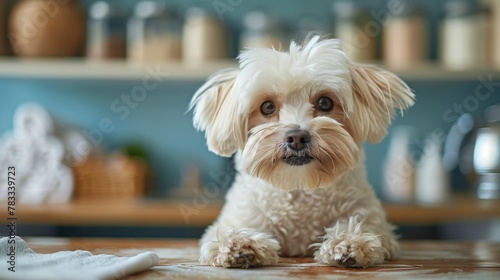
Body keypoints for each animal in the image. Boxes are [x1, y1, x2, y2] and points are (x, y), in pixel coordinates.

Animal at [188, 36, 414, 268]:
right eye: (267, 107)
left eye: (325, 102)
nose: (297, 137)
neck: (300, 187)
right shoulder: (241, 216)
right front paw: (240, 243)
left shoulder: (373, 220)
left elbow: (366, 229)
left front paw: (350, 241)